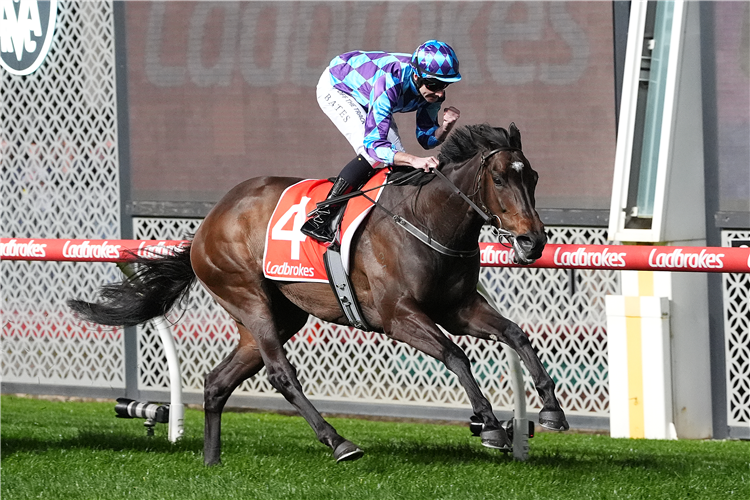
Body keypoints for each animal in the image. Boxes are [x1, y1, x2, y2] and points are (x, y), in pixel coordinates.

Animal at [69, 124, 568, 464]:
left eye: (533, 176)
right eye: (500, 179)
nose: (533, 242)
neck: (425, 218)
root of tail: (208, 224)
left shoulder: (458, 308)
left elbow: (516, 334)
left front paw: (550, 411)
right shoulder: (399, 316)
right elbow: (456, 355)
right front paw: (491, 426)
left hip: (279, 314)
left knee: (217, 382)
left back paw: (211, 460)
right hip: (248, 297)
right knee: (280, 373)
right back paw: (338, 441)